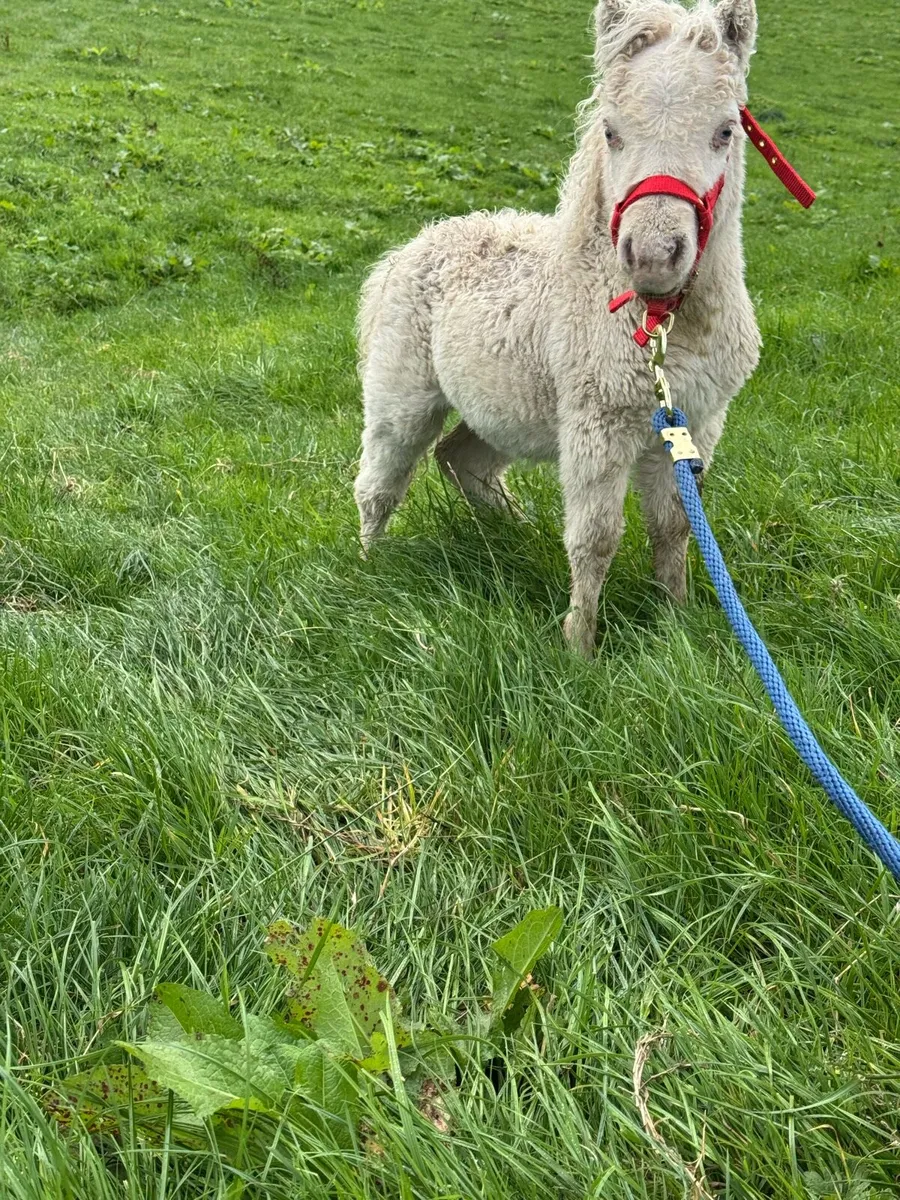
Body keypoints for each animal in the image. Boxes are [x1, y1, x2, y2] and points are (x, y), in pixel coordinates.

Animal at [354, 0, 763, 656]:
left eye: (725, 131)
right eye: (611, 132)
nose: (653, 256)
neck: (658, 323)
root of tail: (408, 250)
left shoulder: (694, 423)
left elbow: (674, 527)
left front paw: (676, 623)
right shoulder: (596, 425)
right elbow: (595, 539)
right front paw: (579, 649)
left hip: (504, 405)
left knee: (462, 461)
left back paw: (511, 539)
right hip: (403, 394)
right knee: (381, 481)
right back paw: (370, 569)